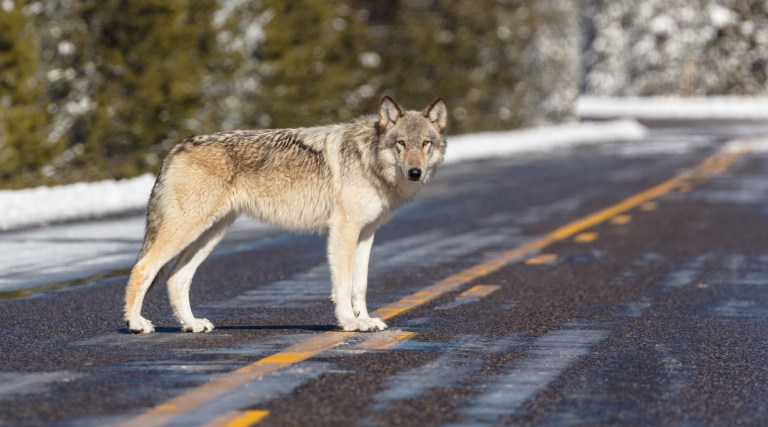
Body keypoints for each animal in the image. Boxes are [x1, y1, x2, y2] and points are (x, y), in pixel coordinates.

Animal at [123, 96, 448, 334]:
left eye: (425, 144)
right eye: (401, 144)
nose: (415, 172)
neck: (369, 159)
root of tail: (178, 145)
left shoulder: (367, 232)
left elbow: (360, 284)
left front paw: (365, 319)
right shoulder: (344, 229)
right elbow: (343, 284)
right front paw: (349, 323)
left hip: (210, 235)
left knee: (176, 278)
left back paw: (191, 324)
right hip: (187, 231)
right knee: (143, 268)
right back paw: (137, 324)